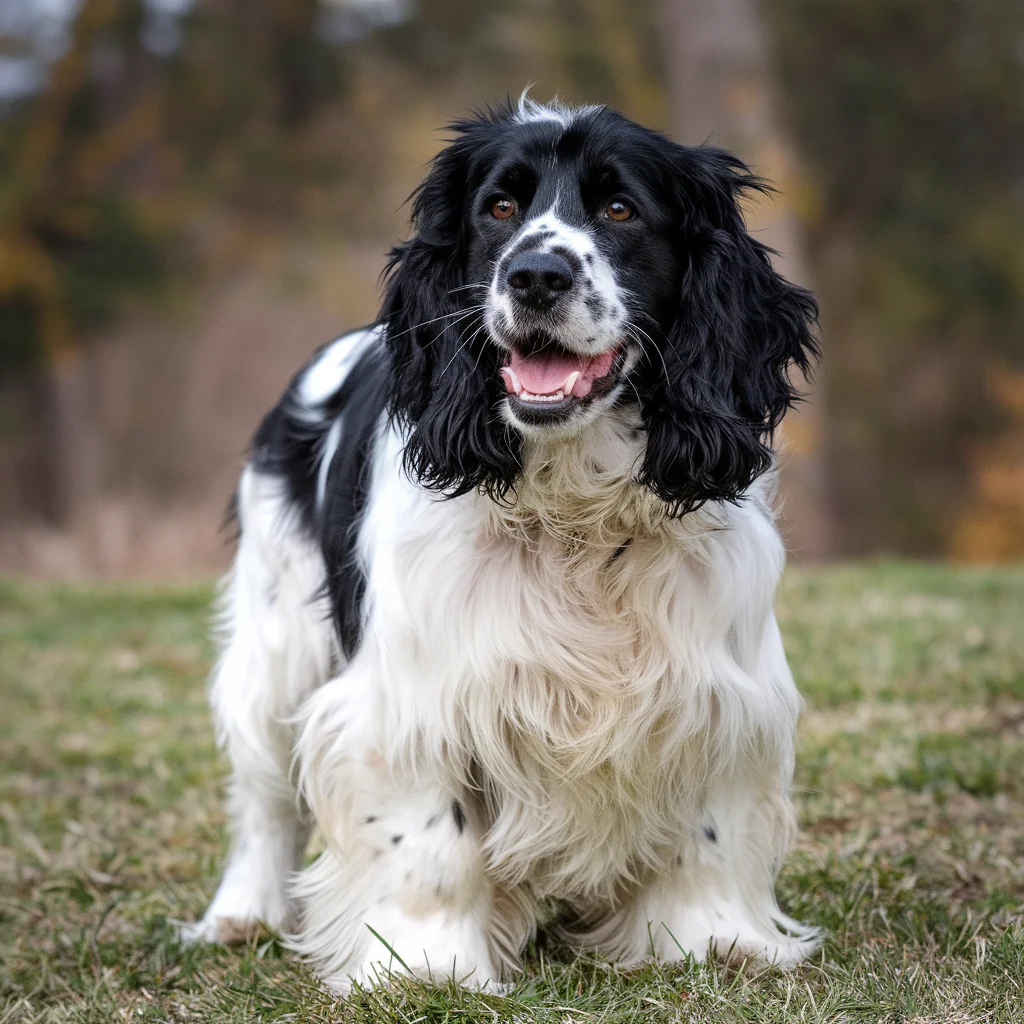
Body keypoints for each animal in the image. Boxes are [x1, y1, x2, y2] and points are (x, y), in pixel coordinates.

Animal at [186, 96, 823, 991]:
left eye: (619, 208)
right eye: (499, 208)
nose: (536, 276)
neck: (574, 508)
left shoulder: (716, 685)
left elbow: (709, 825)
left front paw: (710, 940)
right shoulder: (413, 695)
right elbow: (426, 841)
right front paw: (423, 964)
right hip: (275, 642)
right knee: (264, 795)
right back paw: (241, 913)